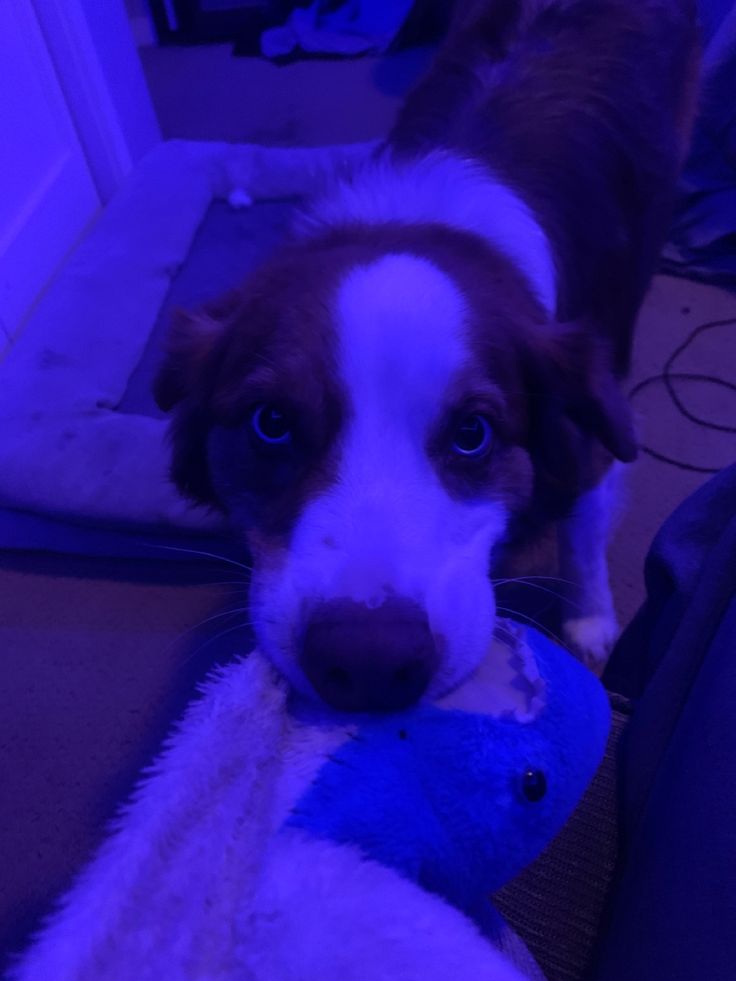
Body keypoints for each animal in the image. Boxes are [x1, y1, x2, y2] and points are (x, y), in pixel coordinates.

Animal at [154, 0, 696, 704]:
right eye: (271, 423)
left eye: (473, 433)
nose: (369, 663)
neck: (422, 222)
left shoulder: (594, 421)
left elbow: (583, 519)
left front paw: (589, 621)